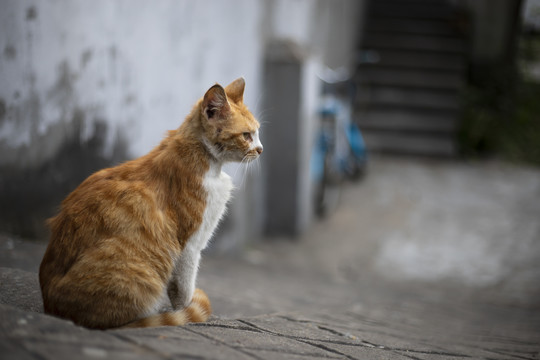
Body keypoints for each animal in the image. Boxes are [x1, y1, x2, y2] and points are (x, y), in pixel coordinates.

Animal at [39, 78, 262, 330]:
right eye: (246, 135)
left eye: (257, 133)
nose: (261, 150)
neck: (204, 161)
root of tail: (53, 306)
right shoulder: (190, 245)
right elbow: (183, 288)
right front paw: (186, 312)